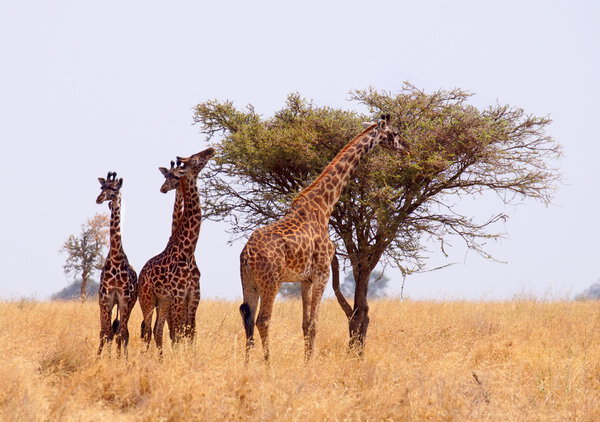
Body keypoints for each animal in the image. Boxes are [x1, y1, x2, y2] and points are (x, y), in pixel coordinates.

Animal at [139, 147, 216, 352]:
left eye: (175, 176)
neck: (187, 251)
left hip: (162, 302)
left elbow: (190, 333)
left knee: (157, 330)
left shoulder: (193, 295)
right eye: (196, 159)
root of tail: (140, 273)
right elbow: (177, 334)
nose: (211, 149)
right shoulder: (178, 295)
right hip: (147, 299)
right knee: (147, 330)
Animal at [238, 113, 408, 362]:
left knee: (247, 318)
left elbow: (305, 324)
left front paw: (306, 361)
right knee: (263, 320)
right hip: (271, 281)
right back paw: (268, 365)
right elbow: (314, 325)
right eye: (394, 133)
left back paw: (247, 365)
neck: (324, 206)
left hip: (249, 282)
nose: (406, 148)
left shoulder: (304, 279)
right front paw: (310, 364)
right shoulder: (322, 273)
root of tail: (247, 254)